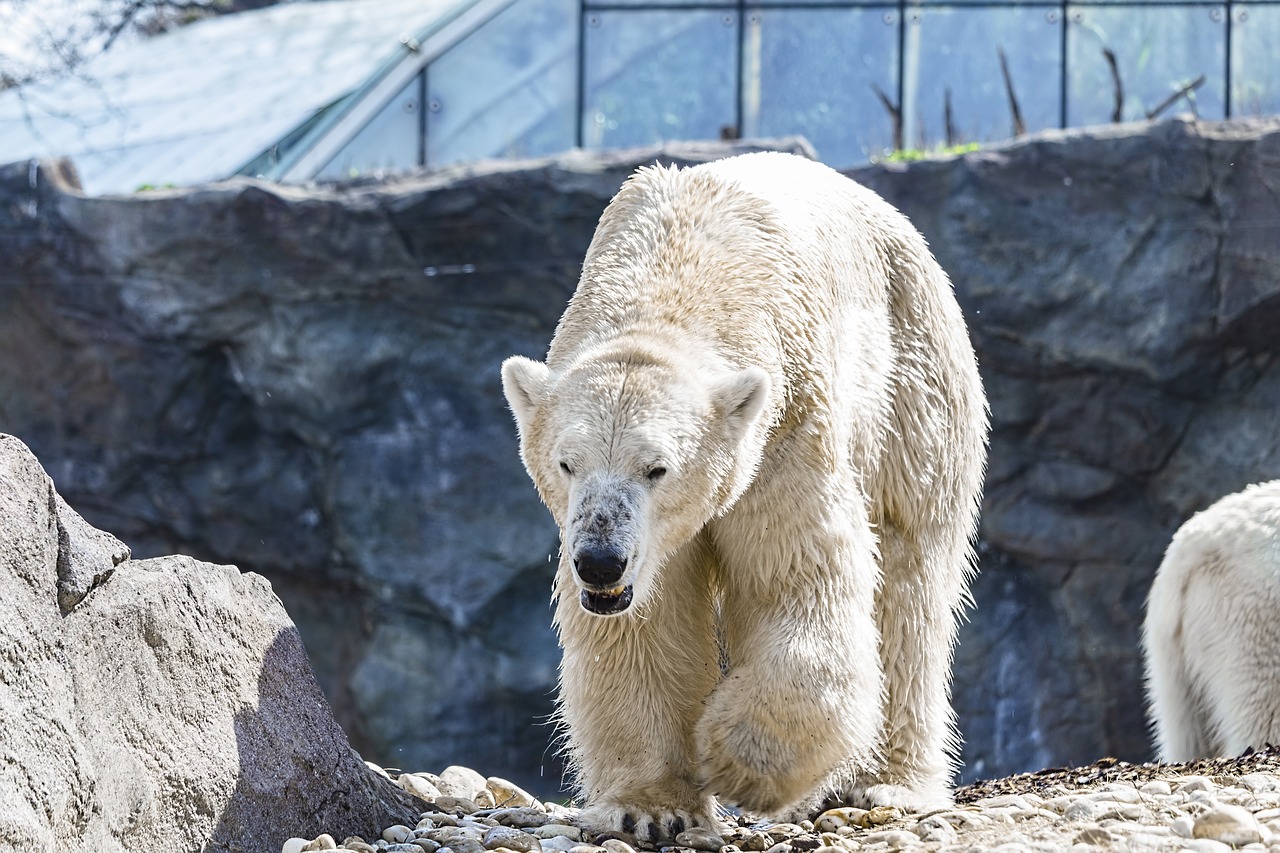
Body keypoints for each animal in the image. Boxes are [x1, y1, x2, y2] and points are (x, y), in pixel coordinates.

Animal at [499, 149, 988, 835]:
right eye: (567, 463)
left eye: (657, 468)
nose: (599, 562)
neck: (679, 270)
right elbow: (647, 622)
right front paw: (653, 808)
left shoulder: (788, 425)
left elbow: (798, 574)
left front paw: (739, 760)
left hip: (915, 377)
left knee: (908, 571)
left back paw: (886, 783)